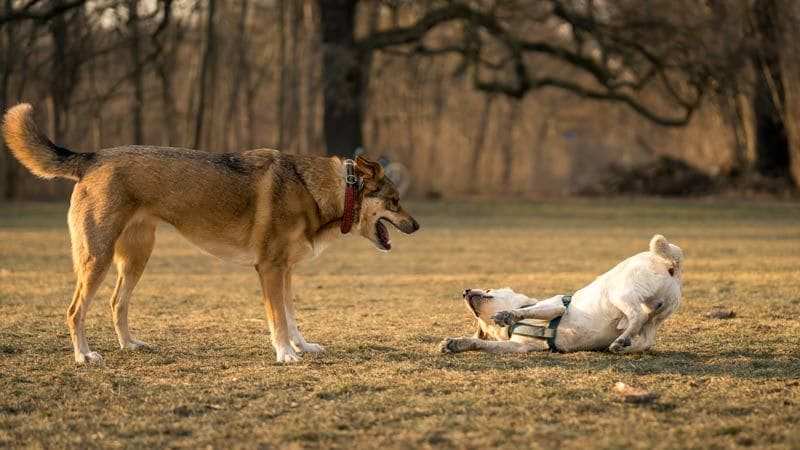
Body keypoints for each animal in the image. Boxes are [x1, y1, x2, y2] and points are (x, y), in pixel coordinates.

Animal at [1, 103, 418, 364]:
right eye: (395, 201)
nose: (417, 226)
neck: (320, 190)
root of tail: (91, 157)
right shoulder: (269, 269)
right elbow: (278, 319)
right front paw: (285, 354)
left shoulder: (285, 270)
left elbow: (291, 314)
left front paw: (302, 346)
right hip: (97, 257)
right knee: (75, 311)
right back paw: (83, 355)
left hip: (136, 258)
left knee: (117, 304)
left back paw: (130, 345)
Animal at [438, 234, 680, 354]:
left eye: (489, 290)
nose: (465, 291)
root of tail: (670, 264)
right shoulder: (518, 346)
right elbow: (480, 343)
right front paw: (456, 344)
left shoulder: (556, 306)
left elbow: (526, 310)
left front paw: (509, 314)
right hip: (656, 316)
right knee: (646, 338)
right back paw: (621, 345)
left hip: (619, 293)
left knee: (636, 315)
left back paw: (623, 339)